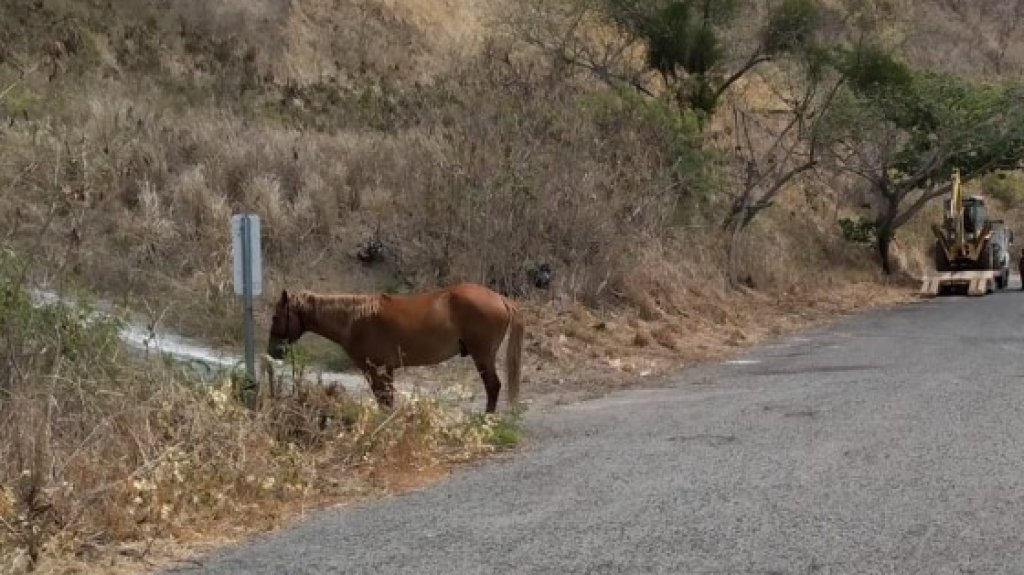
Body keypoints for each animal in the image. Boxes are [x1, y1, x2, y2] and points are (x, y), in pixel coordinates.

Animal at [267, 282, 524, 413]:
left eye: (275, 317)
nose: (272, 351)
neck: (355, 319)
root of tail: (500, 299)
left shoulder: (375, 370)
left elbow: (384, 401)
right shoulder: (386, 371)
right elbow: (387, 401)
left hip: (482, 355)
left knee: (493, 386)